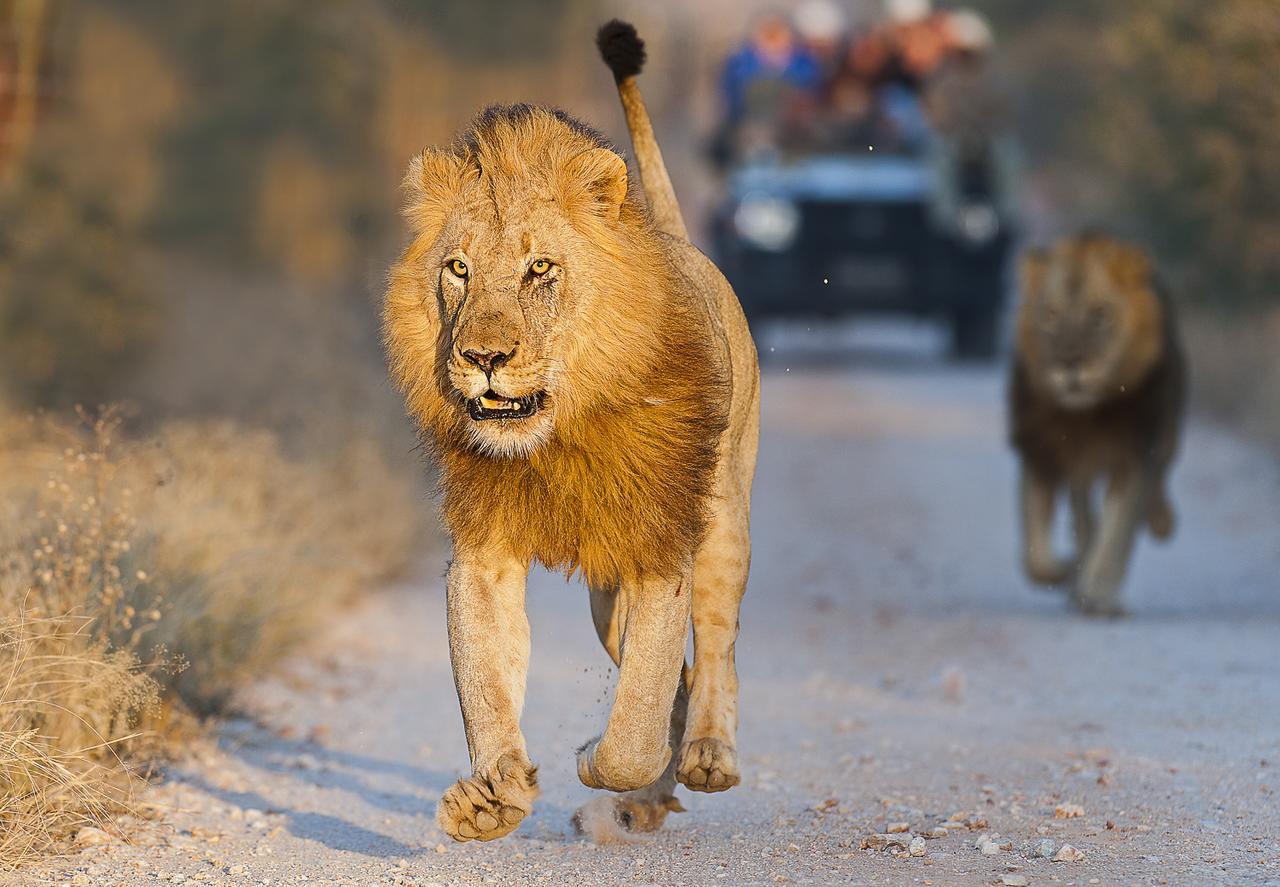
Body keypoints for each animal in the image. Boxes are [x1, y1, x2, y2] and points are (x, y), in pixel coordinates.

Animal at [378, 19, 757, 839]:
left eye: (539, 268)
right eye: (457, 268)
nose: (482, 358)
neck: (555, 439)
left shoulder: (659, 552)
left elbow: (636, 724)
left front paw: (596, 760)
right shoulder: (483, 549)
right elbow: (487, 679)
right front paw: (491, 796)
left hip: (721, 519)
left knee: (713, 650)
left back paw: (706, 756)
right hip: (606, 599)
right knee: (676, 675)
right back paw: (647, 801)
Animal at [1013, 235, 1182, 616]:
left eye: (1100, 315)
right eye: (1050, 315)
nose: (1070, 363)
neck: (1085, 415)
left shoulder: (1135, 457)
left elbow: (1116, 533)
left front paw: (1100, 598)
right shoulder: (1039, 451)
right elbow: (1034, 555)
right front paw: (1063, 570)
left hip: (1165, 437)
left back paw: (1160, 522)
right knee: (1084, 518)